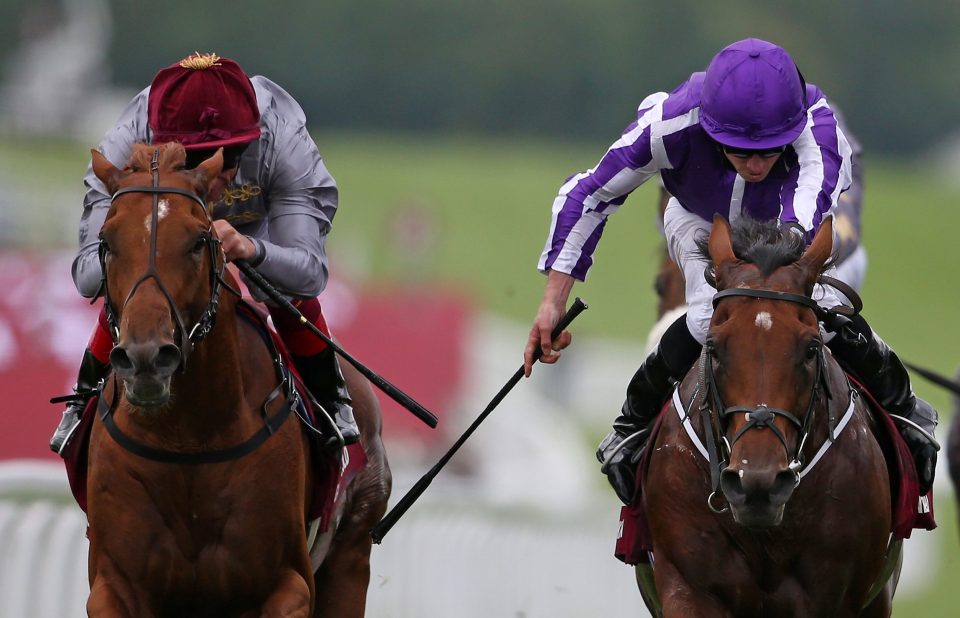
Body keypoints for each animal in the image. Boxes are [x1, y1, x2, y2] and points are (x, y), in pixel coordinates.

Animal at [83, 142, 390, 612]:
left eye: (198, 241)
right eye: (107, 241)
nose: (146, 358)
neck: (187, 440)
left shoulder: (286, 583)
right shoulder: (114, 585)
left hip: (350, 558)